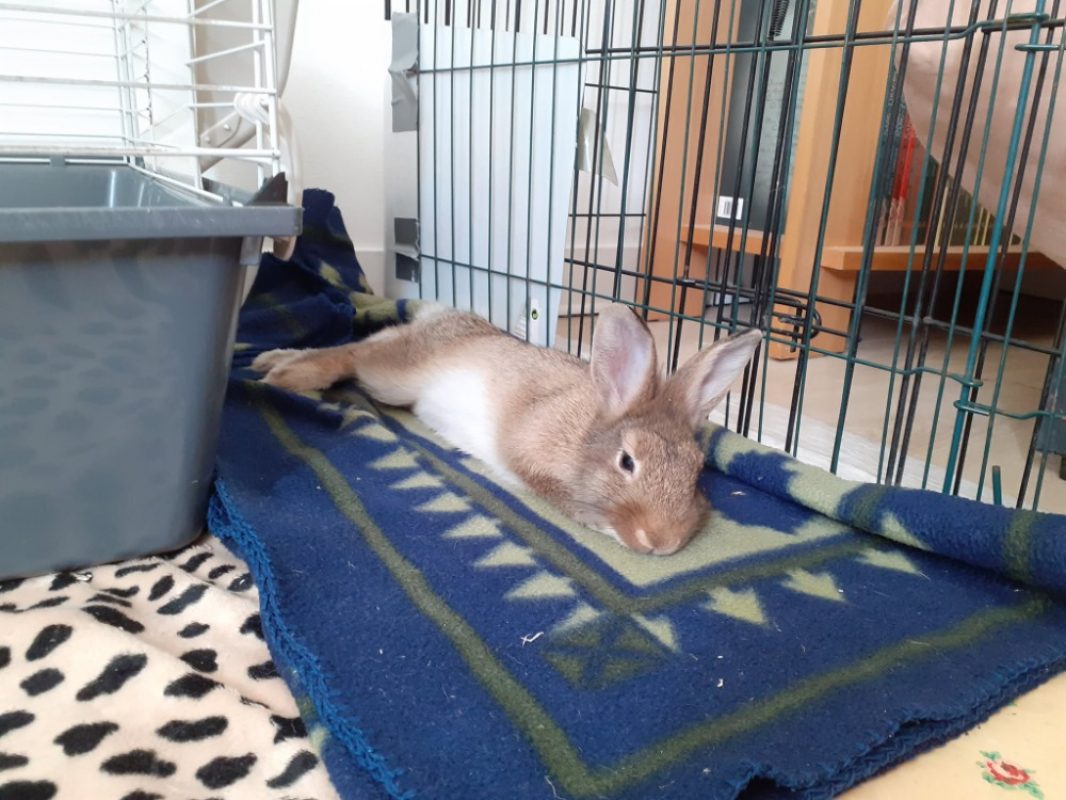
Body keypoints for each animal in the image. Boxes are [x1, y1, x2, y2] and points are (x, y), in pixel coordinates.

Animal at [251, 302, 762, 555]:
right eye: (626, 462)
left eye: (696, 472)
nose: (663, 543)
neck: (584, 438)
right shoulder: (530, 457)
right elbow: (560, 497)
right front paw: (602, 524)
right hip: (393, 377)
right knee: (355, 352)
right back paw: (283, 375)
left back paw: (269, 359)